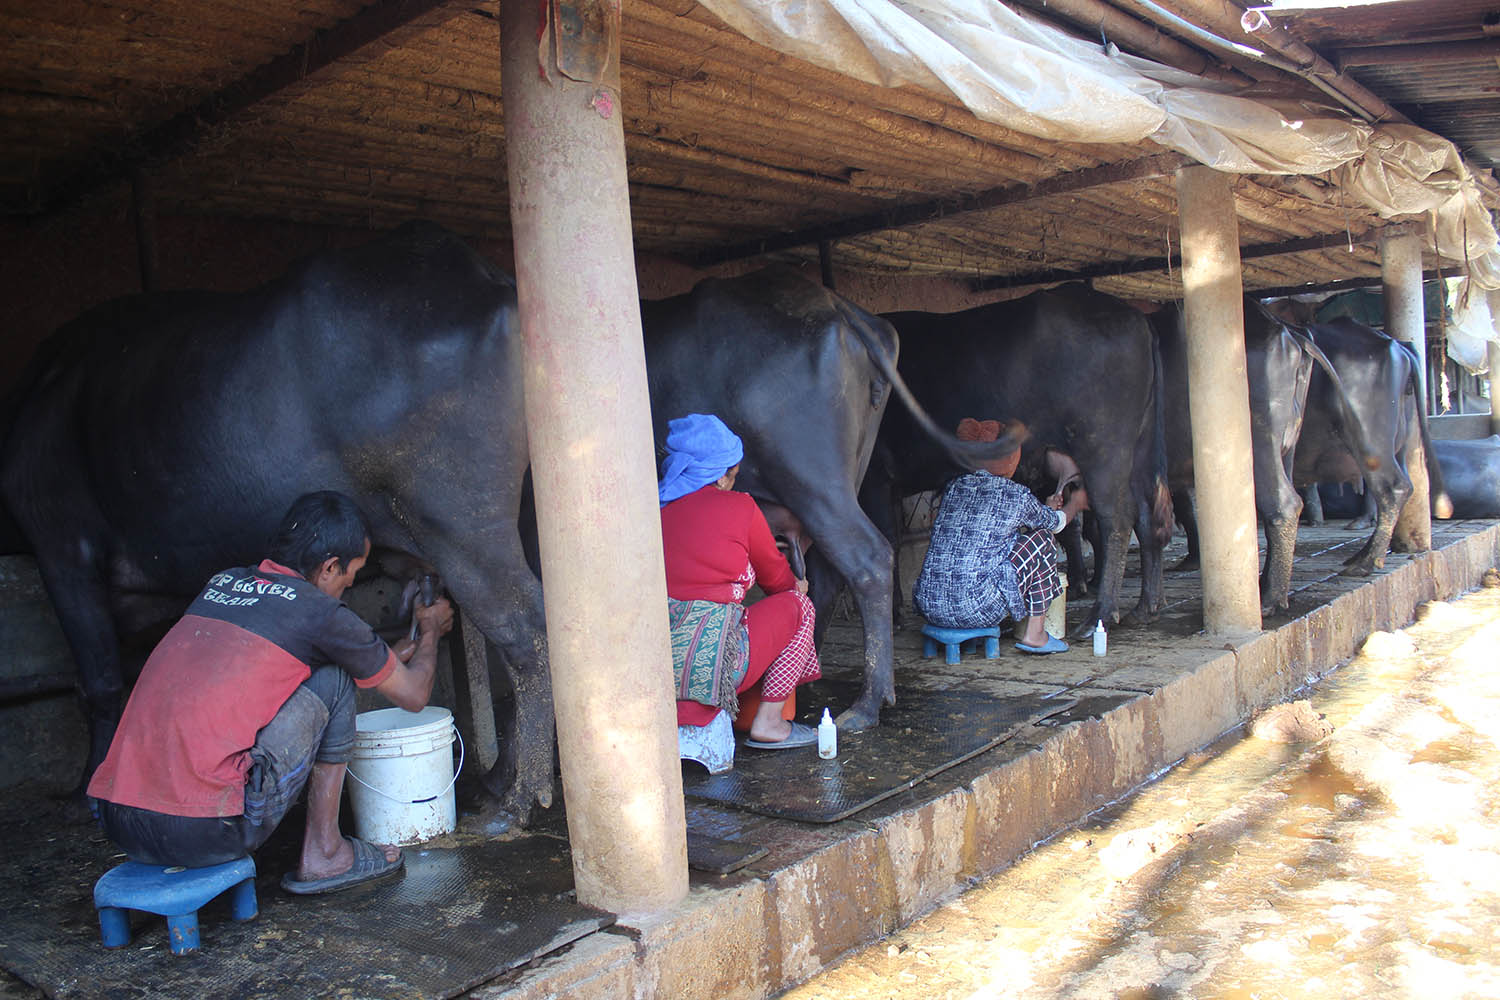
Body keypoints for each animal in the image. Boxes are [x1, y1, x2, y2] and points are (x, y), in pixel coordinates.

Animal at [0, 224, 552, 827]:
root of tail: (488, 281)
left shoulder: (62, 548)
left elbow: (98, 683)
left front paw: (90, 789)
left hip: (461, 527)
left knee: (528, 634)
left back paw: (520, 802)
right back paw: (499, 784)